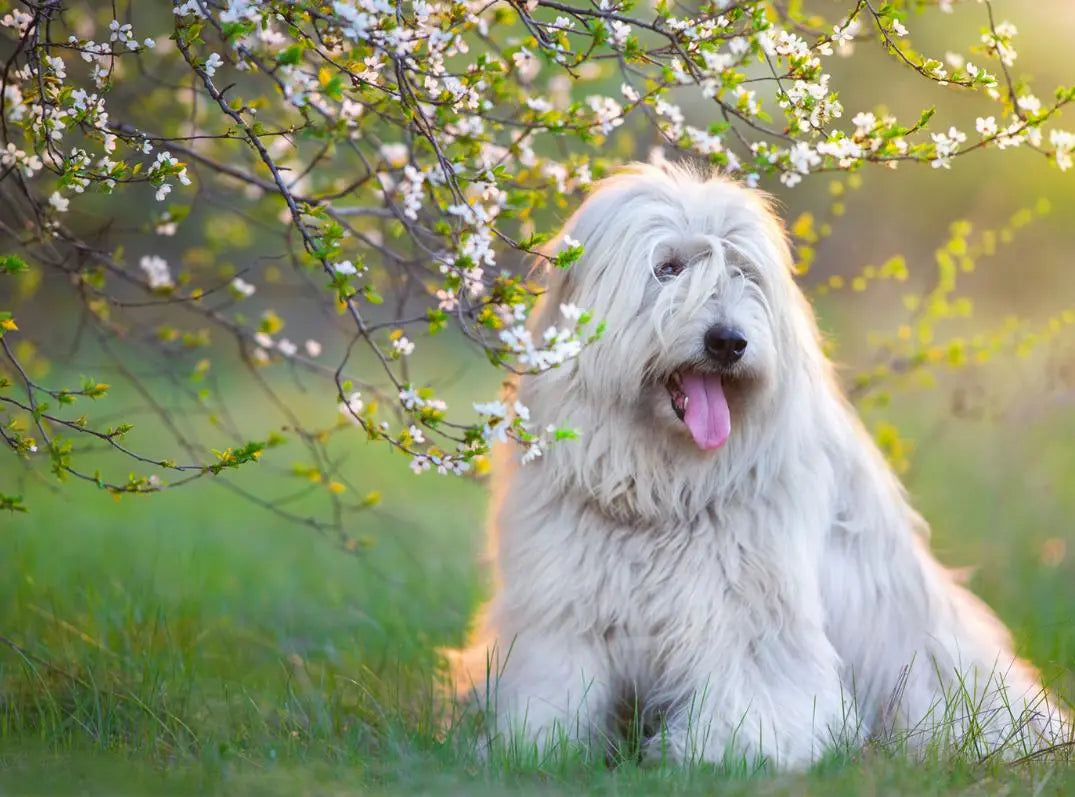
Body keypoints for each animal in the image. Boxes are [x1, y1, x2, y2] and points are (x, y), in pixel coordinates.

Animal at [442, 160, 1066, 765]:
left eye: (745, 273)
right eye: (667, 268)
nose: (728, 341)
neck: (660, 488)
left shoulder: (746, 613)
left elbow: (750, 688)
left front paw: (722, 750)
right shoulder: (563, 608)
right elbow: (554, 686)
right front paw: (533, 744)